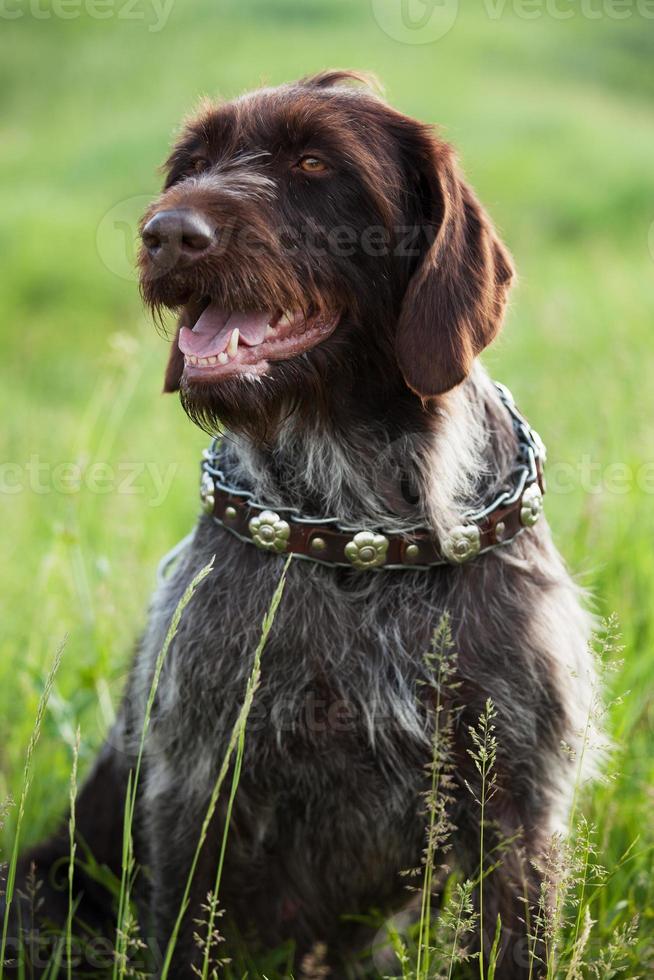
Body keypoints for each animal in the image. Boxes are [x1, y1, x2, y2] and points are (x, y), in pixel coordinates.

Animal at [6, 72, 600, 976]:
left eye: (315, 162)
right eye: (193, 163)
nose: (167, 233)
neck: (363, 528)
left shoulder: (519, 800)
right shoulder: (201, 783)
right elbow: (189, 931)